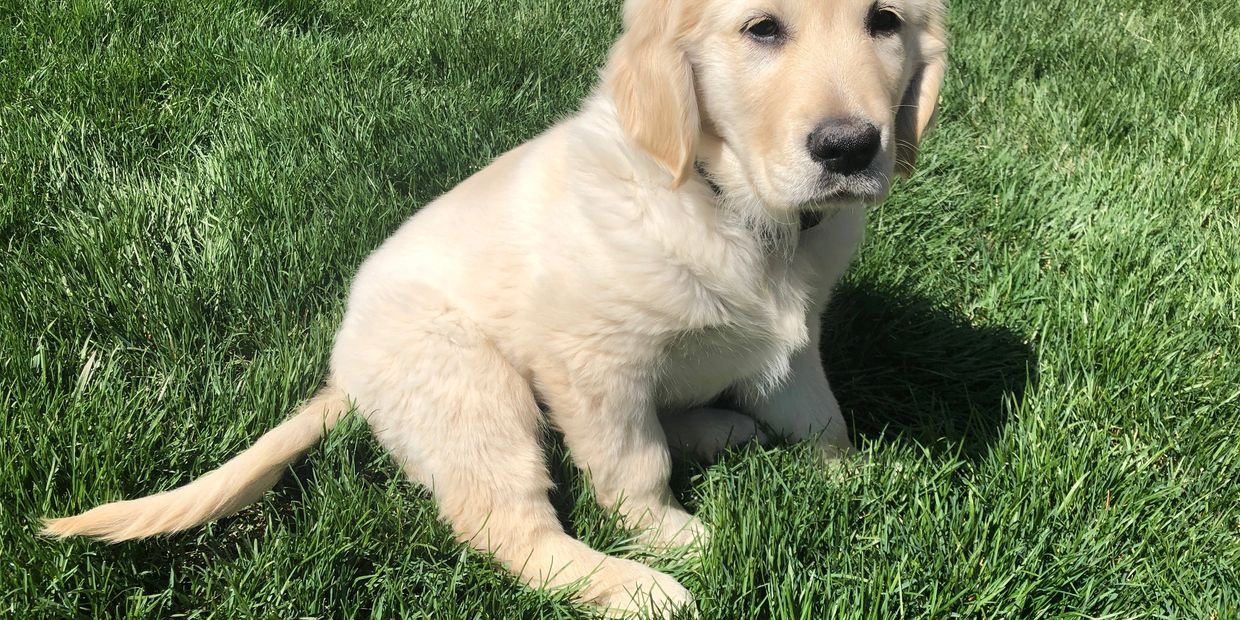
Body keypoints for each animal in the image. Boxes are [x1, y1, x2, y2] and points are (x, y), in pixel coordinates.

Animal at [43, 1, 942, 615]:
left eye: (884, 21)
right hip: (468, 383)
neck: (730, 204)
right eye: (761, 29)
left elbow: (820, 419)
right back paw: (634, 586)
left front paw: (861, 480)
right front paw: (668, 536)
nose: (851, 148)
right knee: (508, 523)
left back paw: (717, 429)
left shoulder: (795, 342)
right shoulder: (591, 362)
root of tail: (344, 371)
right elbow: (631, 464)